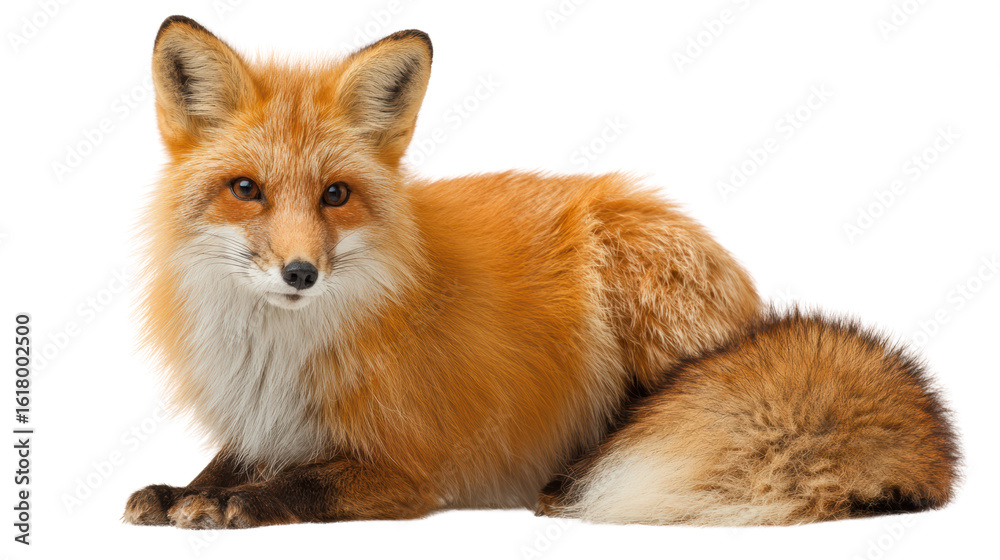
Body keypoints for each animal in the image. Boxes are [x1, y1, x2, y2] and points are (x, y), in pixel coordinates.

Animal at [124, 15, 959, 529]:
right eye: (246, 190)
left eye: (335, 194)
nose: (300, 273)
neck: (281, 353)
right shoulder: (268, 424)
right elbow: (220, 467)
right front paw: (180, 492)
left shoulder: (409, 468)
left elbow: (303, 482)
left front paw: (236, 505)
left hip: (630, 279)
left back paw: (568, 485)